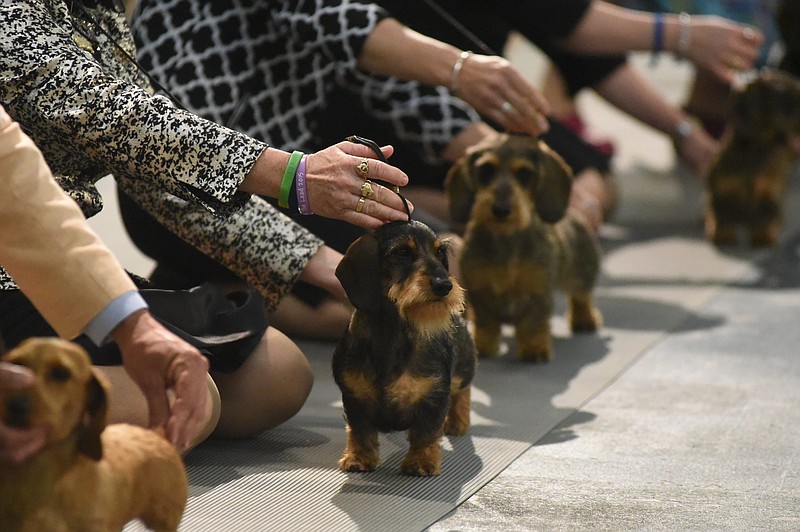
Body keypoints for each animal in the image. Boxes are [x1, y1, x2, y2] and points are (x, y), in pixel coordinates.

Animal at [444, 135, 600, 364]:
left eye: (524, 173)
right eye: (486, 170)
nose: (501, 210)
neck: (506, 239)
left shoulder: (537, 292)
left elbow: (533, 324)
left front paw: (534, 349)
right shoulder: (480, 292)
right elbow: (486, 324)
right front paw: (484, 346)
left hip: (581, 275)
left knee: (582, 297)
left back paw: (585, 319)